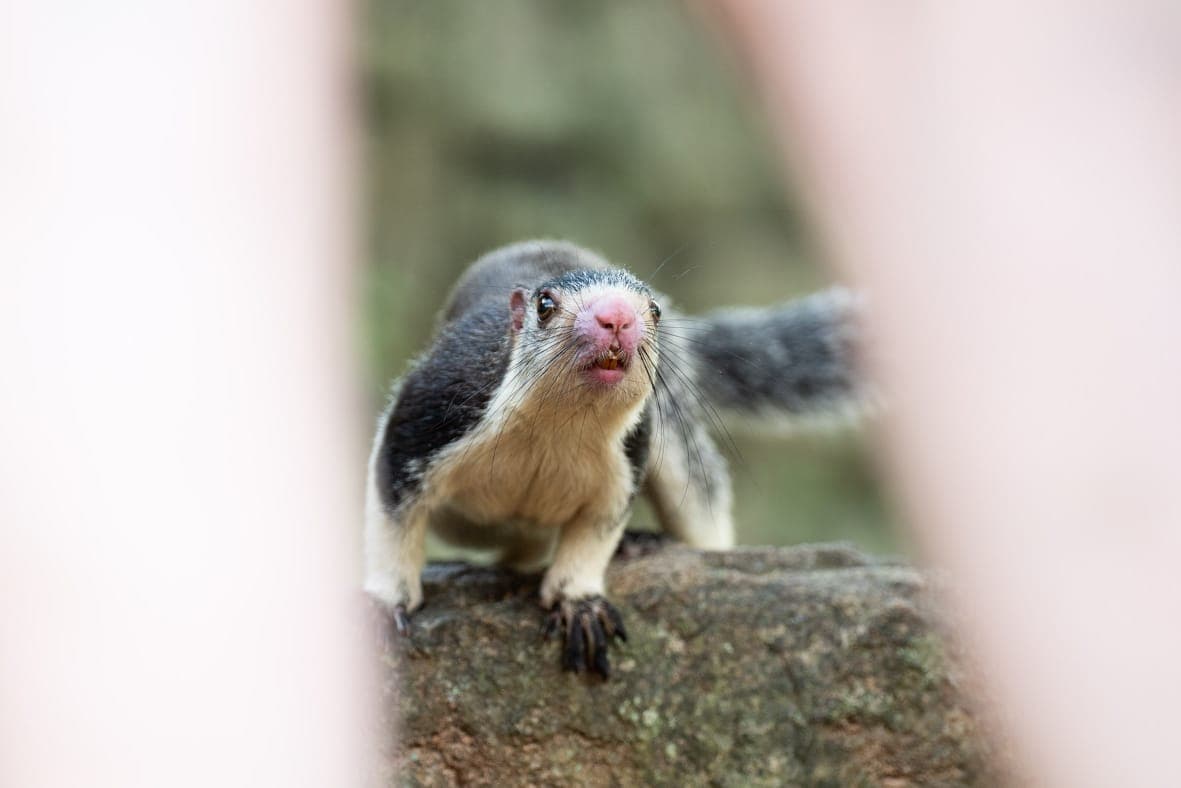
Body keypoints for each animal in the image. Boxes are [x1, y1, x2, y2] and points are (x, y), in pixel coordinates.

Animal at [365, 240, 863, 677]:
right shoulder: (423, 420)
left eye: (654, 310)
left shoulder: (627, 464)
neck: (556, 430)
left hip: (676, 437)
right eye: (544, 304)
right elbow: (391, 525)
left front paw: (580, 605)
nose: (617, 317)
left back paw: (645, 544)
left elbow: (595, 535)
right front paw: (384, 603)